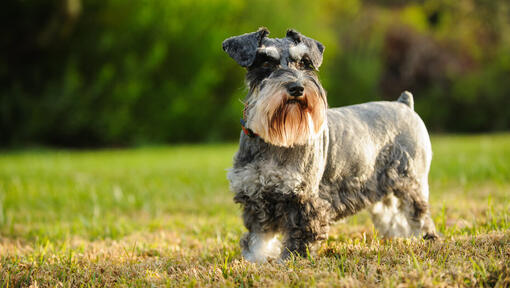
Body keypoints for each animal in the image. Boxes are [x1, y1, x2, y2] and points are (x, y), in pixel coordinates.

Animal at [223, 27, 438, 264]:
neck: (273, 140)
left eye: (305, 62)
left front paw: (289, 262)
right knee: (394, 217)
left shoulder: (304, 199)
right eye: (266, 62)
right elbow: (258, 238)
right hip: (383, 189)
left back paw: (426, 239)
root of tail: (404, 104)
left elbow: (299, 237)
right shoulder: (255, 197)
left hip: (411, 182)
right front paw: (254, 261)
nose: (297, 87)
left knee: (419, 215)